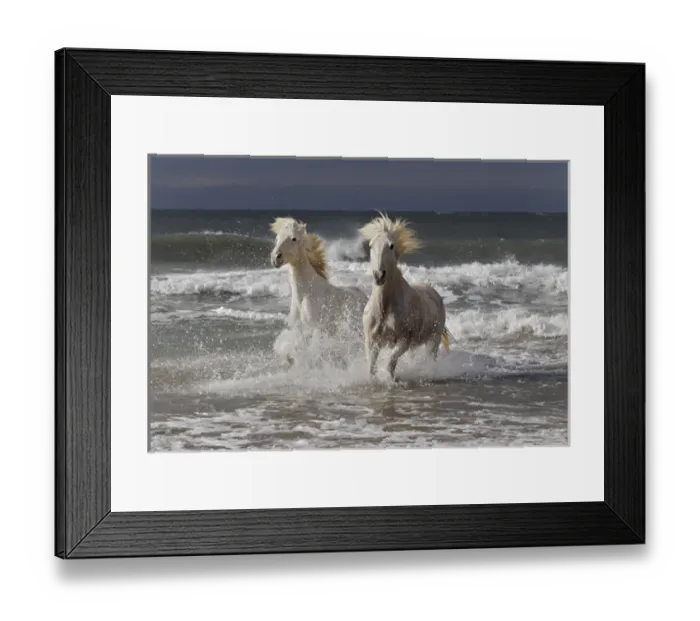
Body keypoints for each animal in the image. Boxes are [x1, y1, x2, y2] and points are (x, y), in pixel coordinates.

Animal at [270, 217, 367, 365]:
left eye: (294, 238)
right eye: (277, 237)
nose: (276, 257)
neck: (305, 294)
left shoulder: (318, 329)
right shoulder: (300, 330)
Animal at [359, 213, 450, 380]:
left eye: (391, 246)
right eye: (370, 246)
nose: (379, 276)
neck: (384, 307)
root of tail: (435, 293)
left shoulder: (403, 341)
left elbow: (390, 363)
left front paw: (390, 380)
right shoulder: (371, 341)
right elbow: (371, 367)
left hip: (433, 339)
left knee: (431, 358)